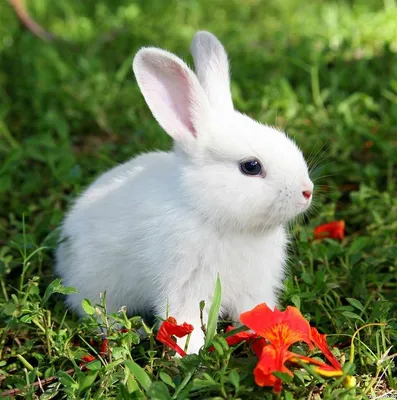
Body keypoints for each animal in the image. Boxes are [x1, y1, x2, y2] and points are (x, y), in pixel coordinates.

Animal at [55, 31, 312, 354]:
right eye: (251, 167)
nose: (307, 191)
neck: (210, 213)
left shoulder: (254, 289)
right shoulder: (184, 286)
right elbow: (184, 319)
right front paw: (191, 352)